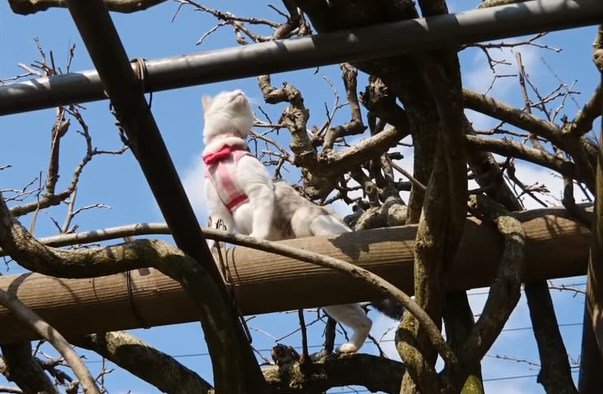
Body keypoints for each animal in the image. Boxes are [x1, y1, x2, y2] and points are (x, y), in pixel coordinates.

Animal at [203, 90, 372, 354]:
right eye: (225, 94)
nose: (240, 92)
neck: (223, 150)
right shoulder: (220, 212)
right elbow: (218, 235)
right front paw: (213, 249)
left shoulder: (259, 190)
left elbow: (261, 221)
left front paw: (256, 238)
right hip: (333, 300)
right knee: (364, 320)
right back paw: (351, 346)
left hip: (306, 220)